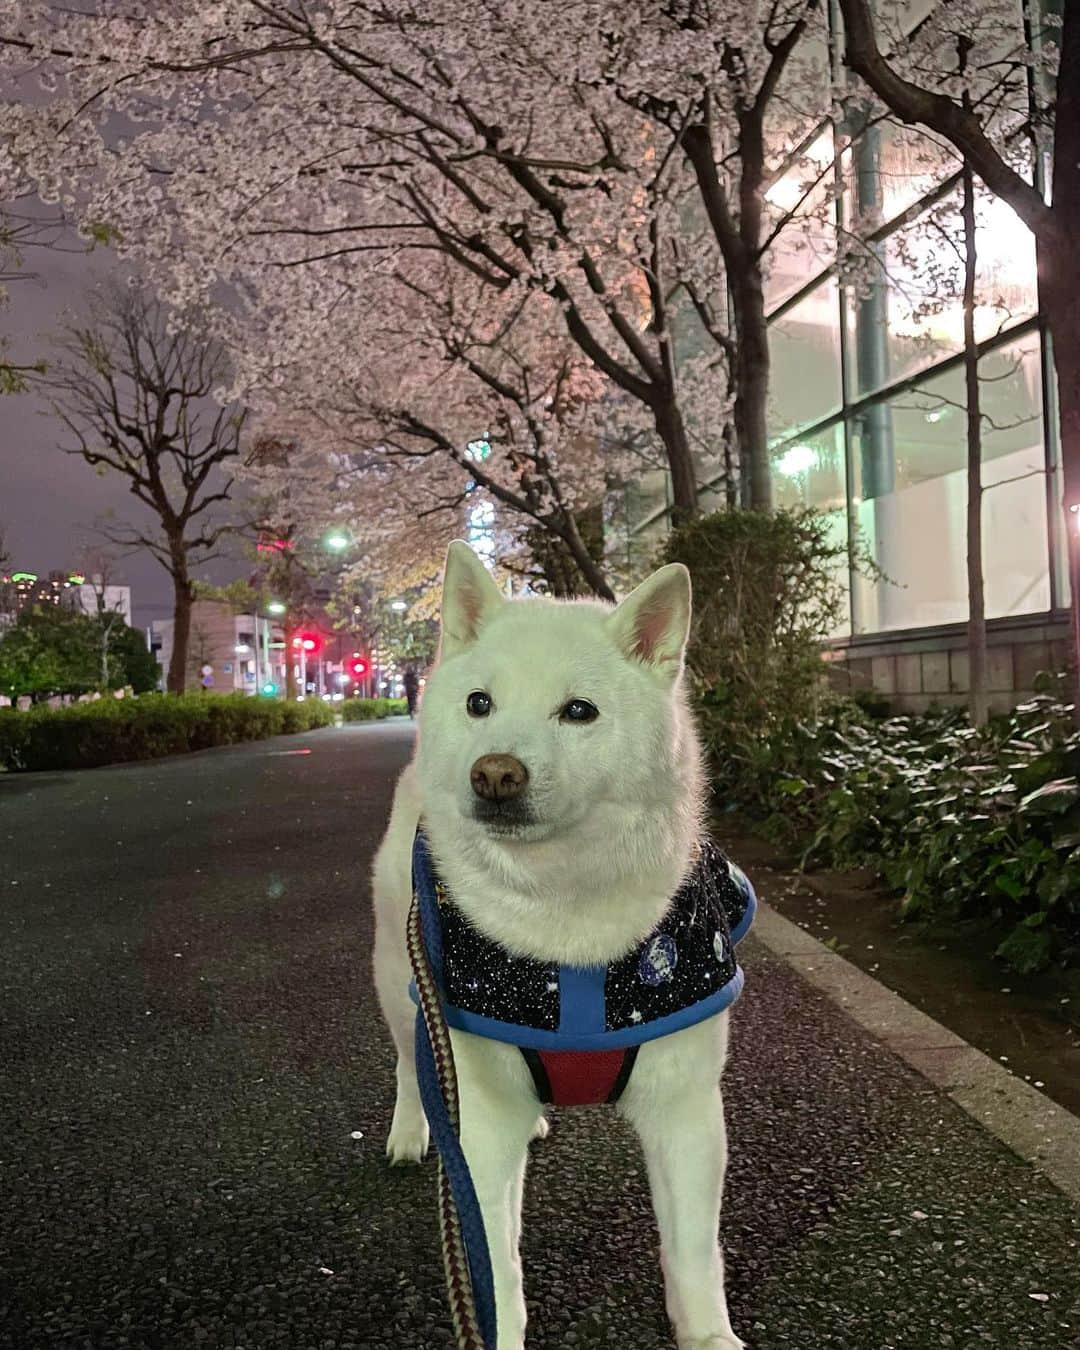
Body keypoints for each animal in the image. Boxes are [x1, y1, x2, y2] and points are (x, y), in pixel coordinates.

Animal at [372, 540, 745, 1350]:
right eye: (479, 703)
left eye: (579, 711)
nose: (495, 772)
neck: (563, 920)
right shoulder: (480, 1118)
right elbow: (493, 1264)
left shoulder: (685, 1107)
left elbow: (694, 1253)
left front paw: (708, 1335)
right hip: (399, 979)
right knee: (410, 1065)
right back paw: (411, 1130)